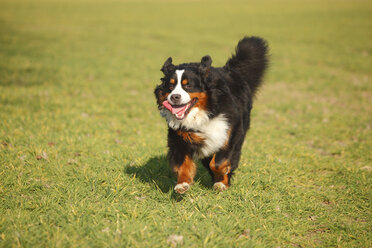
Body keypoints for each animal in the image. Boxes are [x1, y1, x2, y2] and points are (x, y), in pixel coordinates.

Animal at [153, 36, 268, 194]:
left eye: (188, 85)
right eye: (170, 86)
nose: (174, 97)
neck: (203, 113)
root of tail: (231, 70)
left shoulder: (229, 130)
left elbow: (219, 162)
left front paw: (222, 177)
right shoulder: (179, 138)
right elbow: (183, 163)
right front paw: (182, 184)